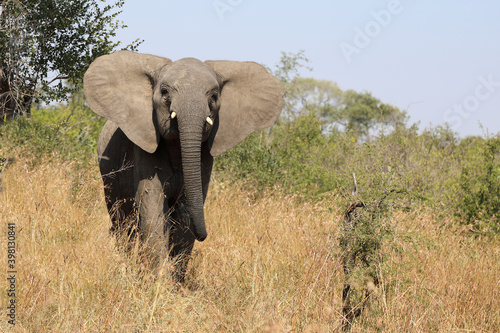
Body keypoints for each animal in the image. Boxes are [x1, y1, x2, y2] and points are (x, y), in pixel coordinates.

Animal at [84, 50, 284, 280]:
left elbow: (186, 211)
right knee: (122, 222)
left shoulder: (204, 155)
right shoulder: (144, 148)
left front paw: (176, 282)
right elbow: (151, 205)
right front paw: (159, 281)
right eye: (164, 92)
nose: (205, 235)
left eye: (214, 97)